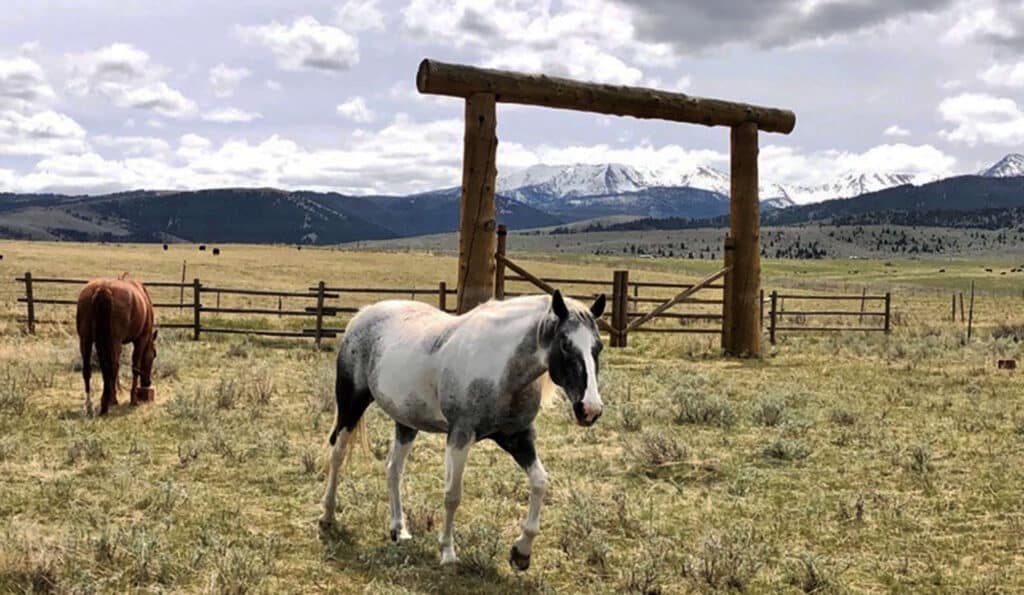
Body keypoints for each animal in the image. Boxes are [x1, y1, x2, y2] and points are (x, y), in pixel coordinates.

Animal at [75, 276, 158, 416]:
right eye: (154, 355)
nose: (148, 382)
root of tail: (103, 288)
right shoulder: (140, 340)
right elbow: (135, 368)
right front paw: (133, 399)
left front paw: (113, 398)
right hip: (112, 341)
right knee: (111, 368)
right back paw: (104, 406)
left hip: (86, 340)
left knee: (89, 370)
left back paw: (90, 405)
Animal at [319, 290, 606, 570]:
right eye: (566, 344)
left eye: (598, 346)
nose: (590, 409)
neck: (501, 367)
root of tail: (363, 315)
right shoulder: (460, 436)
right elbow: (452, 495)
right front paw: (447, 552)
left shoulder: (518, 437)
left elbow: (540, 482)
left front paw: (521, 552)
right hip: (351, 405)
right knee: (337, 455)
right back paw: (327, 516)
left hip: (407, 423)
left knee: (393, 469)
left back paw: (398, 529)